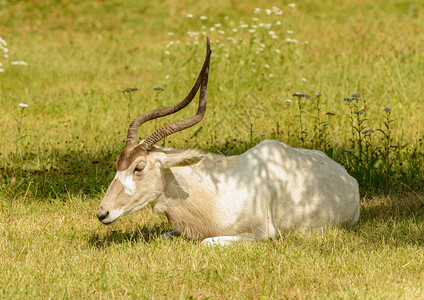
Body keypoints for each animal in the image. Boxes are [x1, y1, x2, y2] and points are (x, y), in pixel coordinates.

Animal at [97, 37, 360, 245]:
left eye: (138, 167)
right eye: (117, 165)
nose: (102, 213)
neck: (215, 191)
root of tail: (346, 176)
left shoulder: (262, 234)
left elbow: (207, 242)